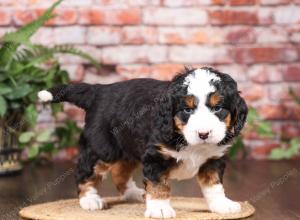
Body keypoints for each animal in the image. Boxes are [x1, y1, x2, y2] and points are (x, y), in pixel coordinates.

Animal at [38, 67, 248, 218]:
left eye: (217, 108)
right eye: (187, 110)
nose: (204, 134)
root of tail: (100, 90)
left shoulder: (213, 159)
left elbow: (214, 186)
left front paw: (222, 205)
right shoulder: (156, 156)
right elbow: (158, 184)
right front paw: (160, 209)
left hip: (128, 147)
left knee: (120, 173)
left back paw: (134, 194)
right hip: (103, 148)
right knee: (84, 171)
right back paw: (89, 199)